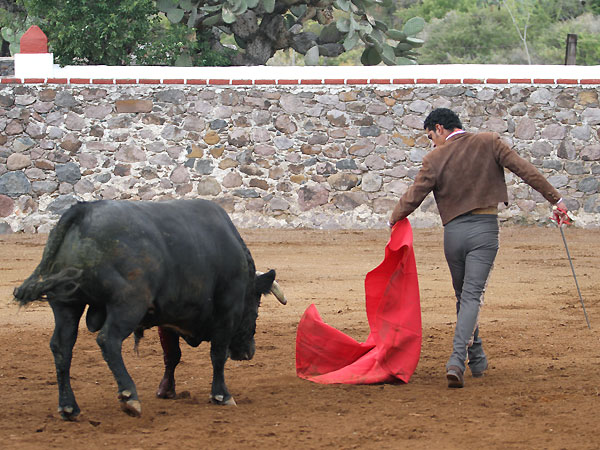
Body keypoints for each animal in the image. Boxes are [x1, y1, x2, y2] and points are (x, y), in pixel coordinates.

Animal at [14, 199, 286, 420]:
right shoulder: (226, 313)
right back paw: (129, 396)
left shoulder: (169, 318)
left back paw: (69, 407)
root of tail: (83, 210)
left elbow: (171, 355)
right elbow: (217, 355)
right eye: (256, 308)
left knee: (62, 347)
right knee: (108, 340)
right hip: (128, 304)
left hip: (66, 304)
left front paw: (167, 390)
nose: (248, 352)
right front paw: (221, 394)